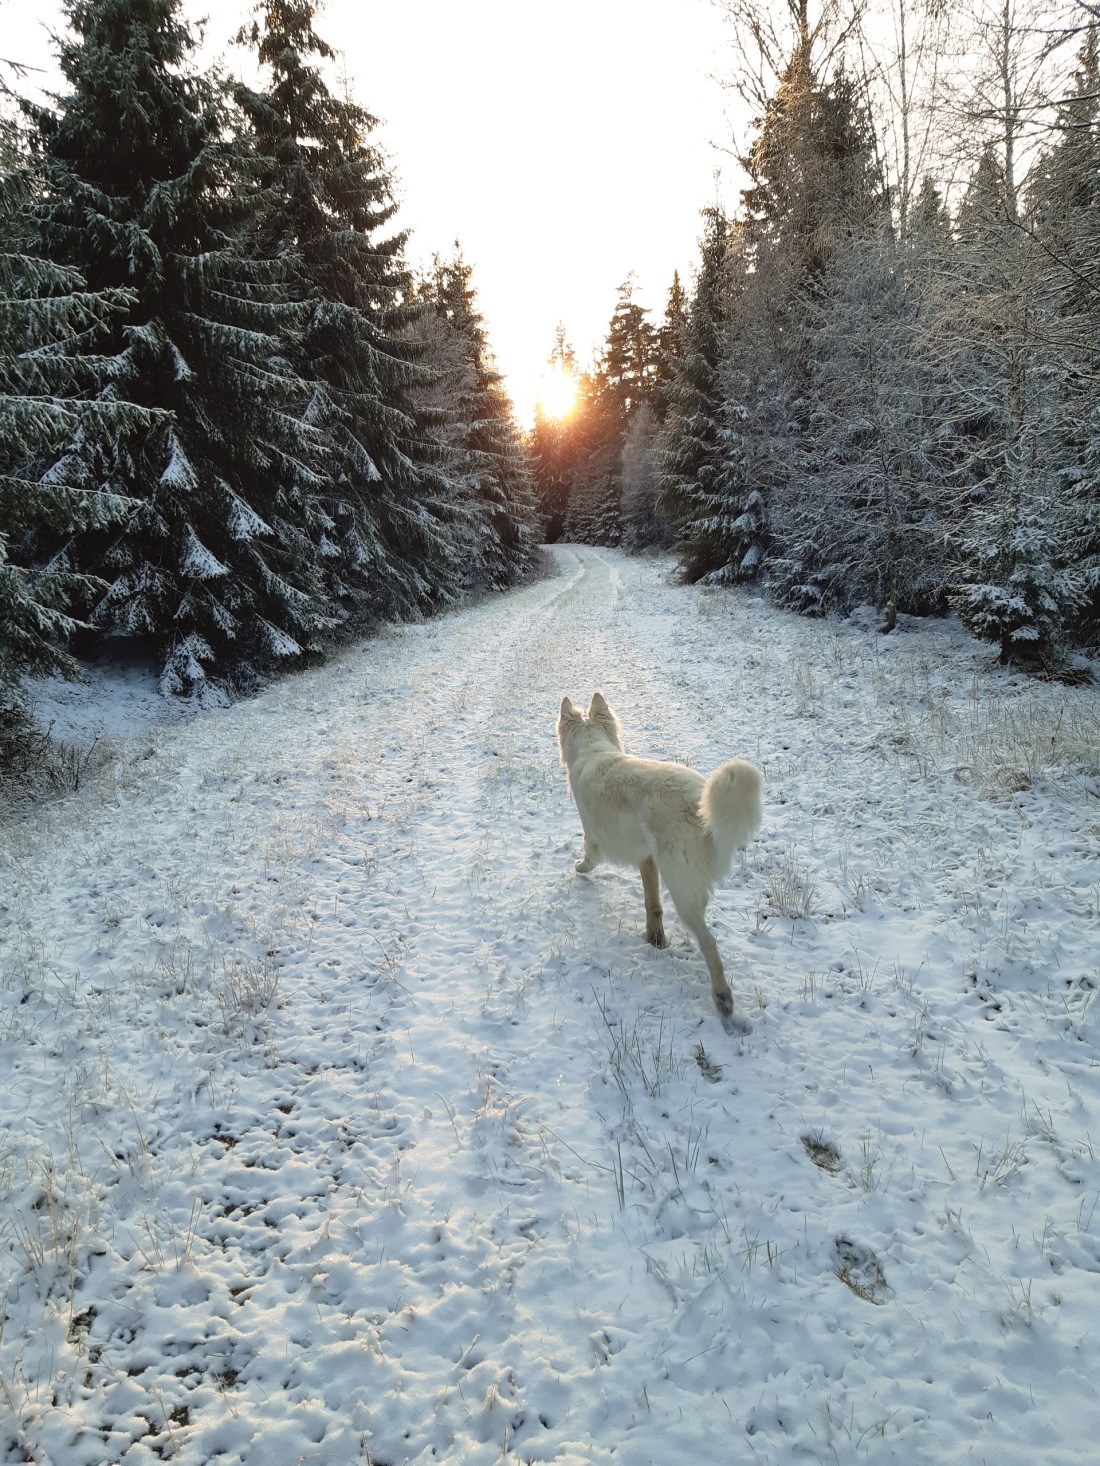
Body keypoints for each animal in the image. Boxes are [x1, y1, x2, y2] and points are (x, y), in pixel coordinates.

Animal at [557, 692, 763, 1018]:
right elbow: (652, 903)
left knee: (709, 942)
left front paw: (579, 867)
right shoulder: (647, 858)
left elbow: (589, 857)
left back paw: (722, 996)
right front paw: (655, 937)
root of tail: (697, 805)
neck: (593, 748)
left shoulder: (594, 835)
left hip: (680, 888)